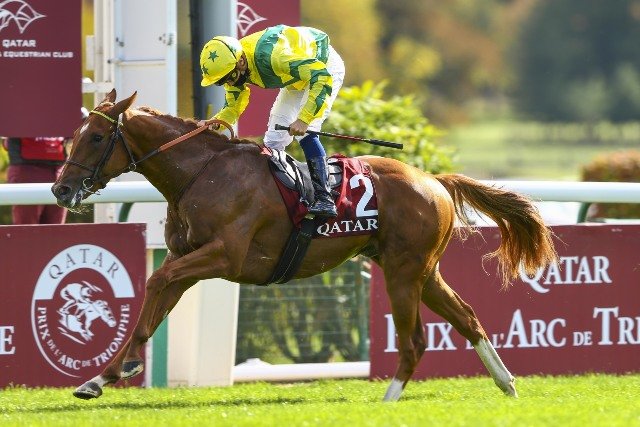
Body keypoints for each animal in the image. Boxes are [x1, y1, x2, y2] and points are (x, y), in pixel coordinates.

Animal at [51, 89, 557, 401]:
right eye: (73, 135)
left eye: (96, 136)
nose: (60, 189)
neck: (201, 173)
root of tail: (434, 180)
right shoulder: (186, 257)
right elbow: (155, 301)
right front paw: (103, 375)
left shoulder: (223, 256)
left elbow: (155, 281)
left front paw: (119, 369)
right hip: (424, 271)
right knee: (468, 318)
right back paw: (508, 384)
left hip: (403, 272)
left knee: (414, 341)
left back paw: (388, 401)